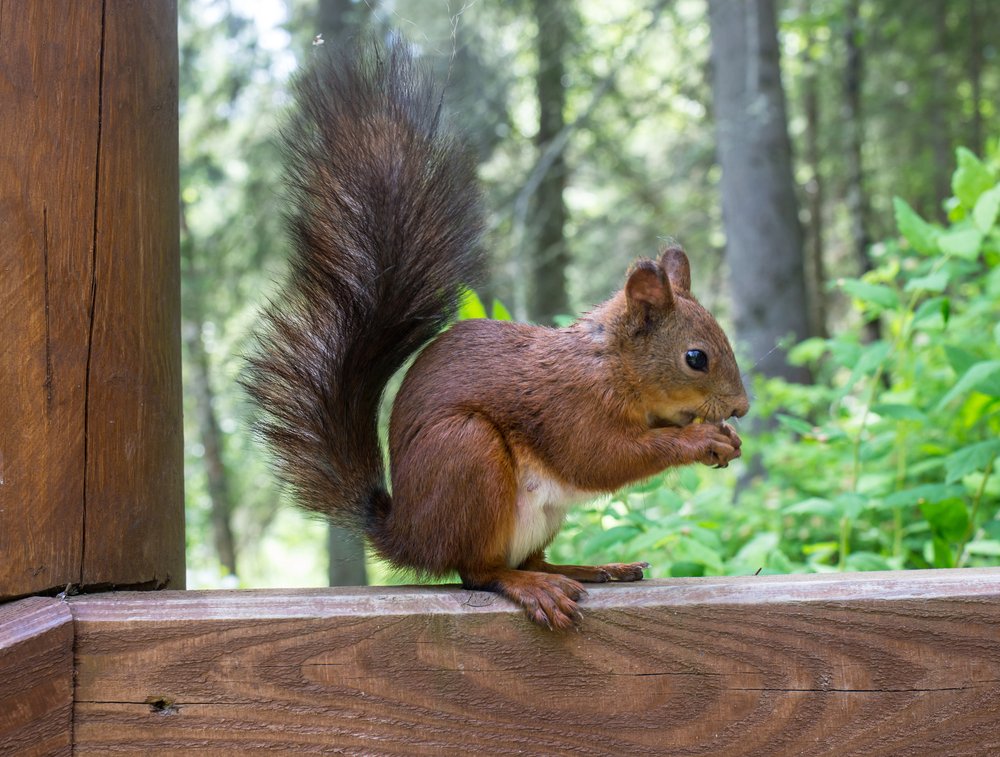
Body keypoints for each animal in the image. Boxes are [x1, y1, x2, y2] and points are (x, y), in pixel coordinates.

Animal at [244, 39, 749, 631]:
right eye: (696, 357)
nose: (740, 408)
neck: (612, 365)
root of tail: (409, 536)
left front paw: (725, 439)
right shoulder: (569, 405)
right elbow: (600, 458)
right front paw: (699, 440)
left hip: (536, 512)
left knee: (528, 557)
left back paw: (589, 568)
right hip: (468, 456)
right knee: (478, 572)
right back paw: (532, 586)